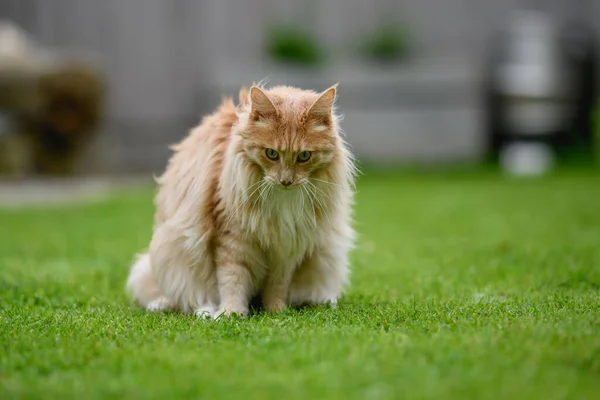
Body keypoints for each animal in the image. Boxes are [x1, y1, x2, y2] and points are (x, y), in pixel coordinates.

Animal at [124, 84, 354, 318]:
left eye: (304, 156)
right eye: (271, 153)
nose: (286, 181)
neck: (281, 202)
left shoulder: (287, 247)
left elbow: (277, 287)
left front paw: (277, 312)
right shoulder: (232, 238)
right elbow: (232, 280)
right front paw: (230, 314)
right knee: (178, 297)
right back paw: (191, 309)